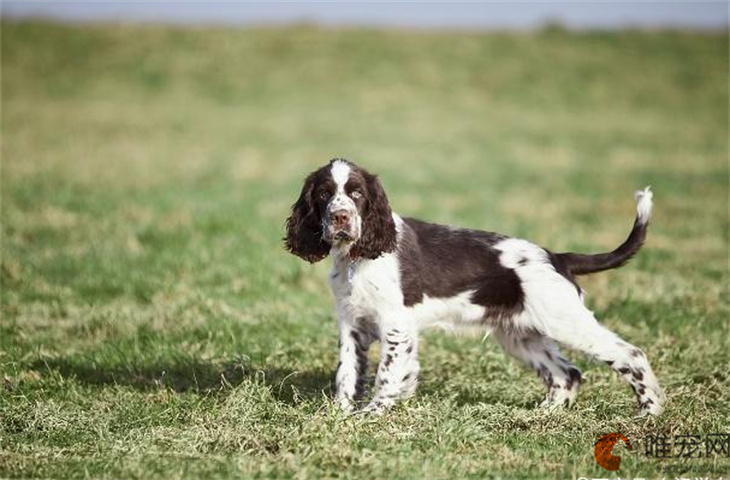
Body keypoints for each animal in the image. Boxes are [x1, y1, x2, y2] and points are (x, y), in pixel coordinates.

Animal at [284, 158, 664, 416]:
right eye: (324, 194)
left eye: (357, 193)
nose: (340, 217)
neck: (357, 256)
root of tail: (557, 258)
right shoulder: (351, 322)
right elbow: (348, 372)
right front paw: (340, 414)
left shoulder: (396, 323)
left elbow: (387, 374)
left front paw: (372, 414)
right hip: (520, 335)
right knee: (566, 373)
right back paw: (544, 415)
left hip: (566, 321)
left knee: (631, 355)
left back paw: (650, 412)